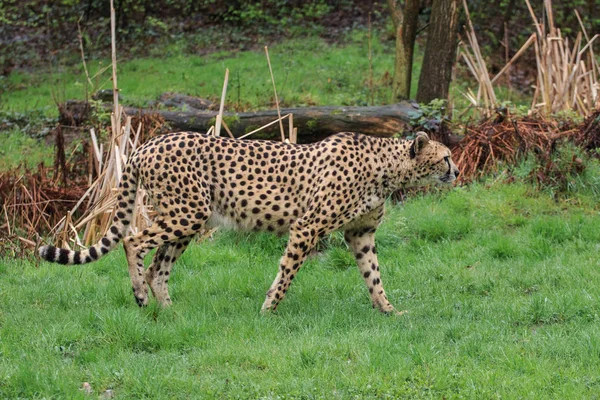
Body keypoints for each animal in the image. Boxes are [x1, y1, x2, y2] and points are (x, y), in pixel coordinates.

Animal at [38, 131, 460, 312]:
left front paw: (388, 311)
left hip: (190, 217)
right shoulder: (307, 226)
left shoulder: (361, 234)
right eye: (445, 157)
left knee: (160, 264)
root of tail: (149, 142)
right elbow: (288, 271)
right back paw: (141, 295)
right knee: (134, 241)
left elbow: (373, 275)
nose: (456, 171)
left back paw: (169, 311)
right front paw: (268, 309)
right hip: (186, 212)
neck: (388, 167)